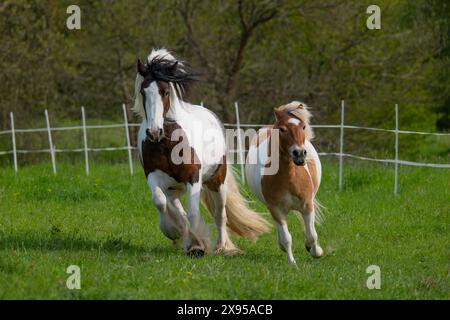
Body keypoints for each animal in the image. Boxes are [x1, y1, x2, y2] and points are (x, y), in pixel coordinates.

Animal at [132, 48, 268, 258]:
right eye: (143, 91)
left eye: (165, 91)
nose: (154, 132)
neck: (167, 143)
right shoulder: (153, 175)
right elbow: (161, 202)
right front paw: (175, 233)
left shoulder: (193, 177)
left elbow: (194, 212)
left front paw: (199, 246)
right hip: (174, 187)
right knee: (176, 207)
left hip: (217, 182)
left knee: (220, 215)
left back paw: (222, 247)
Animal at [246, 101, 324, 264]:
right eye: (282, 129)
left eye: (303, 127)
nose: (299, 154)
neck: (289, 178)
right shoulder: (276, 209)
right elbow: (287, 238)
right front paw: (292, 263)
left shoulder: (307, 206)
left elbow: (312, 235)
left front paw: (316, 251)